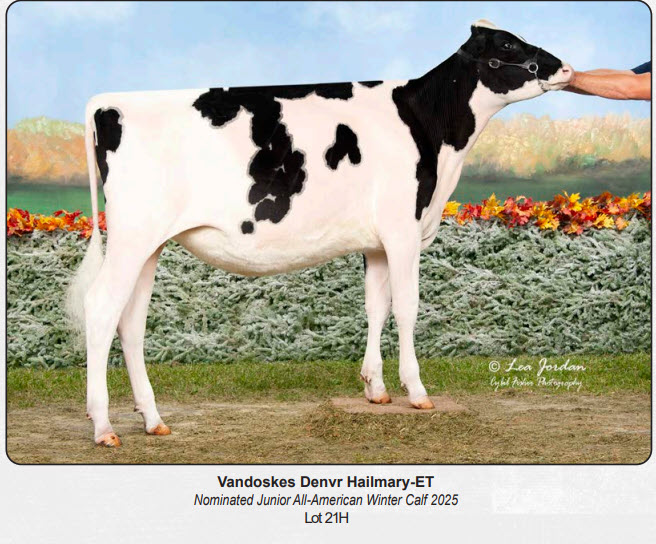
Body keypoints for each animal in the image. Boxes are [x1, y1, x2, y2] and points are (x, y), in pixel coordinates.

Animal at [68, 20, 572, 446]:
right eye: (507, 45)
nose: (564, 67)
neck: (429, 127)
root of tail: (108, 103)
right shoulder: (403, 230)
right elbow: (407, 308)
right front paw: (416, 390)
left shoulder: (377, 243)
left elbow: (376, 307)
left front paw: (375, 388)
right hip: (132, 237)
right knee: (102, 309)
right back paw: (104, 426)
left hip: (148, 245)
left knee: (131, 322)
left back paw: (153, 420)